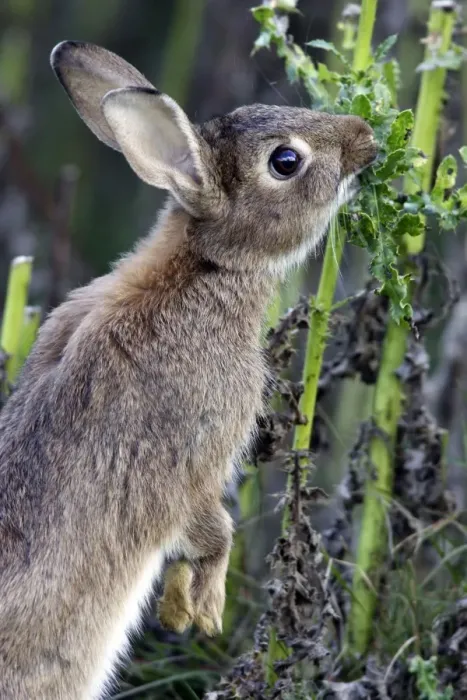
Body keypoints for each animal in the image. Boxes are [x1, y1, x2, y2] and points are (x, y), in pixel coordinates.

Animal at [0, 40, 377, 700]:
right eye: (285, 161)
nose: (366, 136)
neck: (202, 268)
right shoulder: (193, 463)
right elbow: (213, 532)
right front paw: (200, 612)